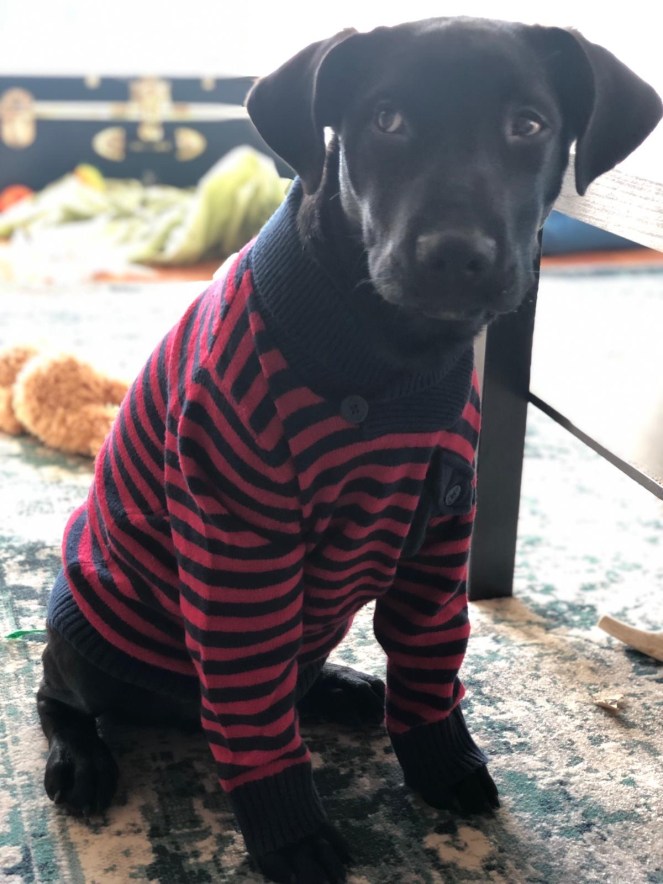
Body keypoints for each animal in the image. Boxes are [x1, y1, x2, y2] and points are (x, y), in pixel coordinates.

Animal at [37, 17, 661, 884]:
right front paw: (292, 835)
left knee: (290, 682)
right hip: (91, 636)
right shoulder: (241, 556)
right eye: (385, 120)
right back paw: (81, 759)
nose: (454, 256)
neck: (387, 351)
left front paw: (442, 764)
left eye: (529, 125)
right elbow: (257, 718)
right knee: (58, 694)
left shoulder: (440, 534)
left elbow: (430, 667)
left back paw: (342, 688)